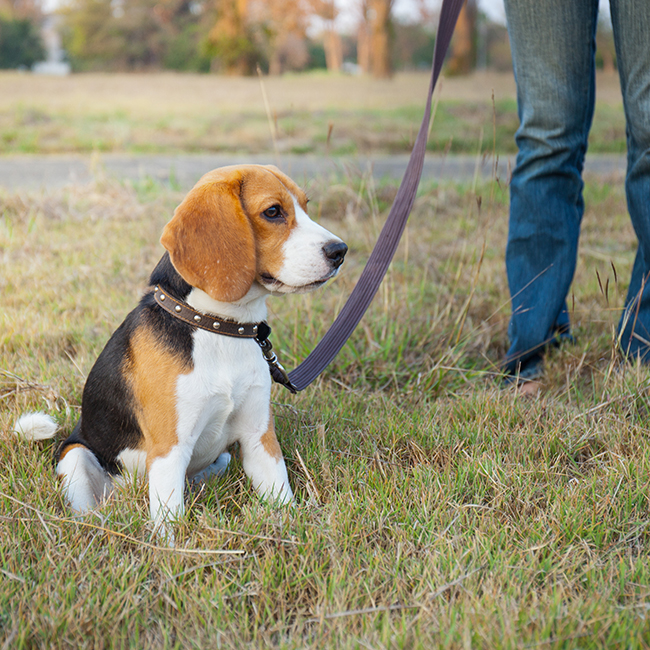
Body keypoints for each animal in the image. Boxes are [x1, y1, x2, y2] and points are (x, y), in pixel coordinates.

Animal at [15, 165, 346, 536]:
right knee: (88, 508)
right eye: (273, 211)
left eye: (306, 205)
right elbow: (169, 523)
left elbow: (280, 494)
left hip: (222, 457)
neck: (217, 326)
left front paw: (290, 528)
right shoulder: (169, 449)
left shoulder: (259, 437)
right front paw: (171, 546)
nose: (340, 250)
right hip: (76, 457)